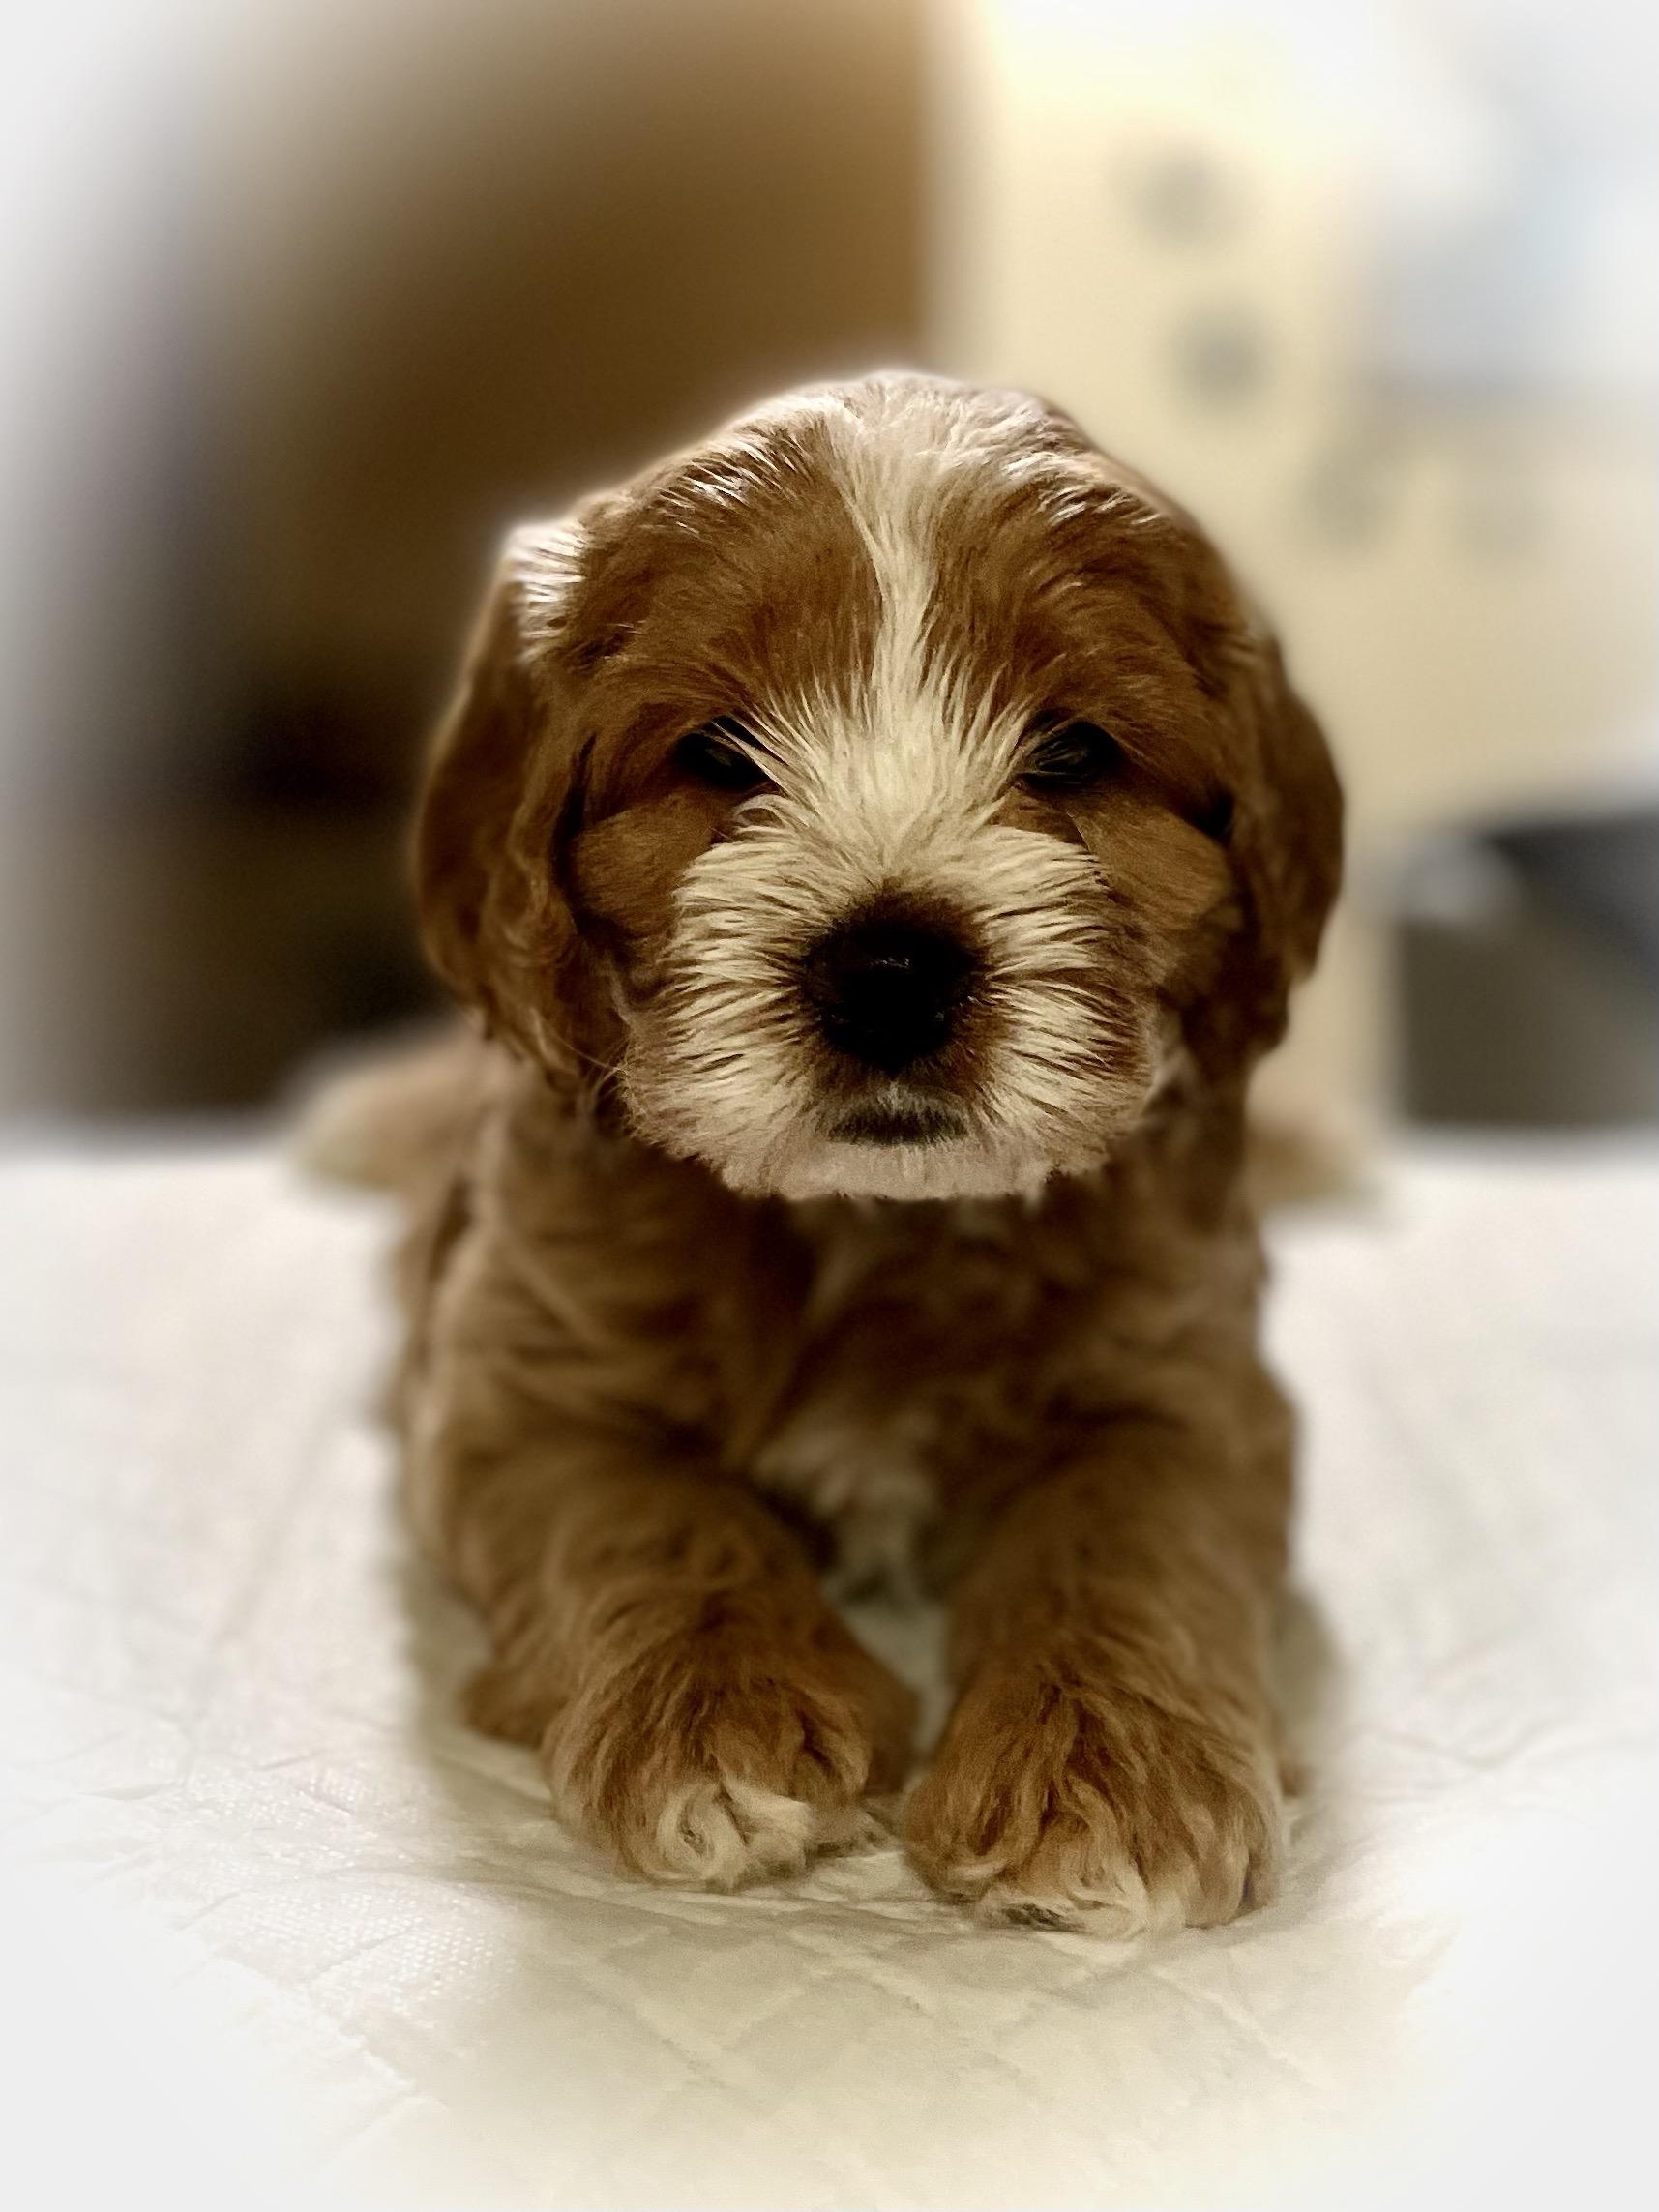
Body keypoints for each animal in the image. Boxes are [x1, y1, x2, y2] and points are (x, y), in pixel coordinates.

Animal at [372, 372, 1342, 1932]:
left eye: (1074, 751)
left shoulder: (1191, 1389)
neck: (875, 1218)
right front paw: (716, 1719)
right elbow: (648, 1508)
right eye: (716, 754)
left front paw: (1106, 1775)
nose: (888, 972)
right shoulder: (515, 1391)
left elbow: (1124, 1527)